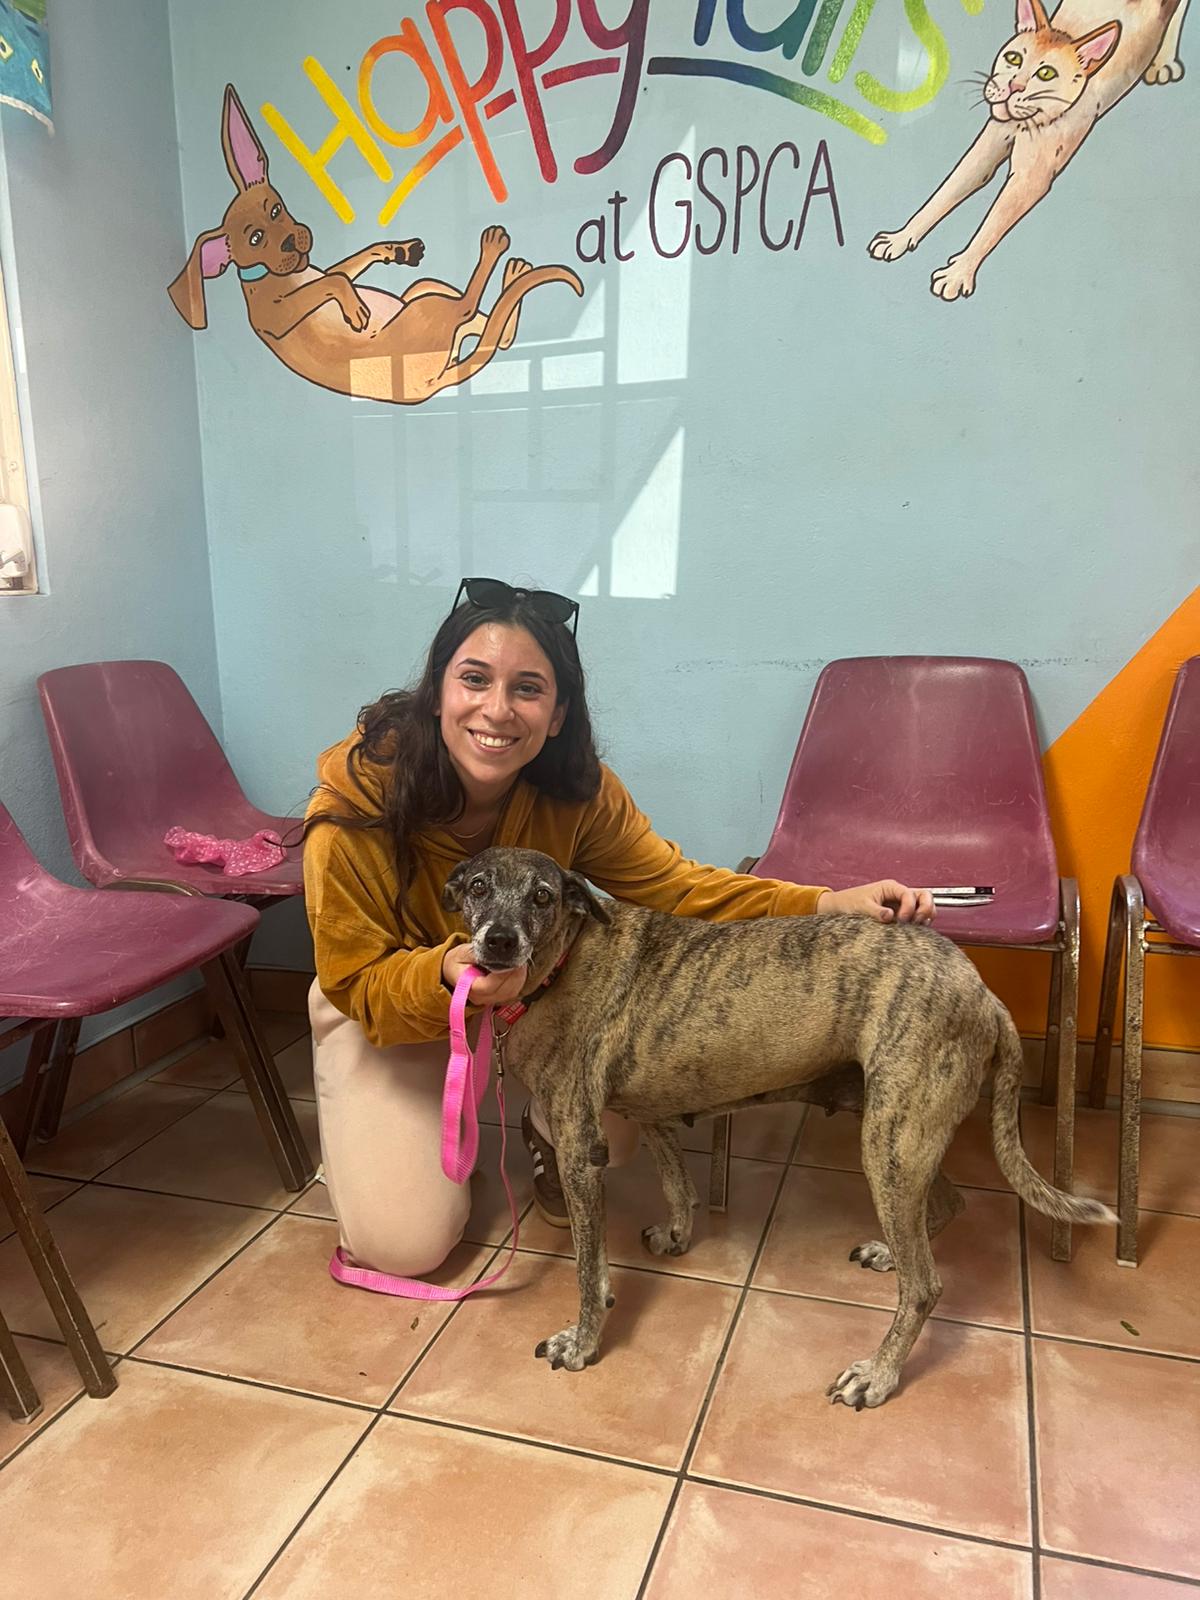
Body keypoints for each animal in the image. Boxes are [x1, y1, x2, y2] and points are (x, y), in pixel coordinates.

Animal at [167, 85, 583, 404]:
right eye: (255, 238)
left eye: (276, 209)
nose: (290, 241)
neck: (280, 275)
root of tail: (433, 385)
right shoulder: (282, 314)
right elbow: (333, 282)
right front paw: (355, 310)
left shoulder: (320, 267)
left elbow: (350, 264)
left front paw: (398, 250)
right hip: (429, 308)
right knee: (468, 307)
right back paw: (493, 250)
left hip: (421, 292)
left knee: (490, 329)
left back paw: (512, 277)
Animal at [444, 847, 1115, 1410]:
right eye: (478, 886)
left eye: (542, 896)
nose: (498, 942)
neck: (562, 963)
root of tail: (984, 993)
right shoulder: (653, 1112)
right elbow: (675, 1179)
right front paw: (679, 1232)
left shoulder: (581, 1151)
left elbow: (588, 1269)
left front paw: (583, 1341)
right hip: (895, 1133)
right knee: (945, 1208)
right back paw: (890, 1255)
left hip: (890, 1141)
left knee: (926, 1285)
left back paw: (879, 1373)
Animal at [868, 0, 1188, 300]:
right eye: (1014, 58)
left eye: (1046, 73)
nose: (1013, 87)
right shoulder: (983, 152)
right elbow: (942, 196)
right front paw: (900, 238)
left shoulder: (1029, 179)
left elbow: (992, 224)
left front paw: (958, 273)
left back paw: (1163, 63)